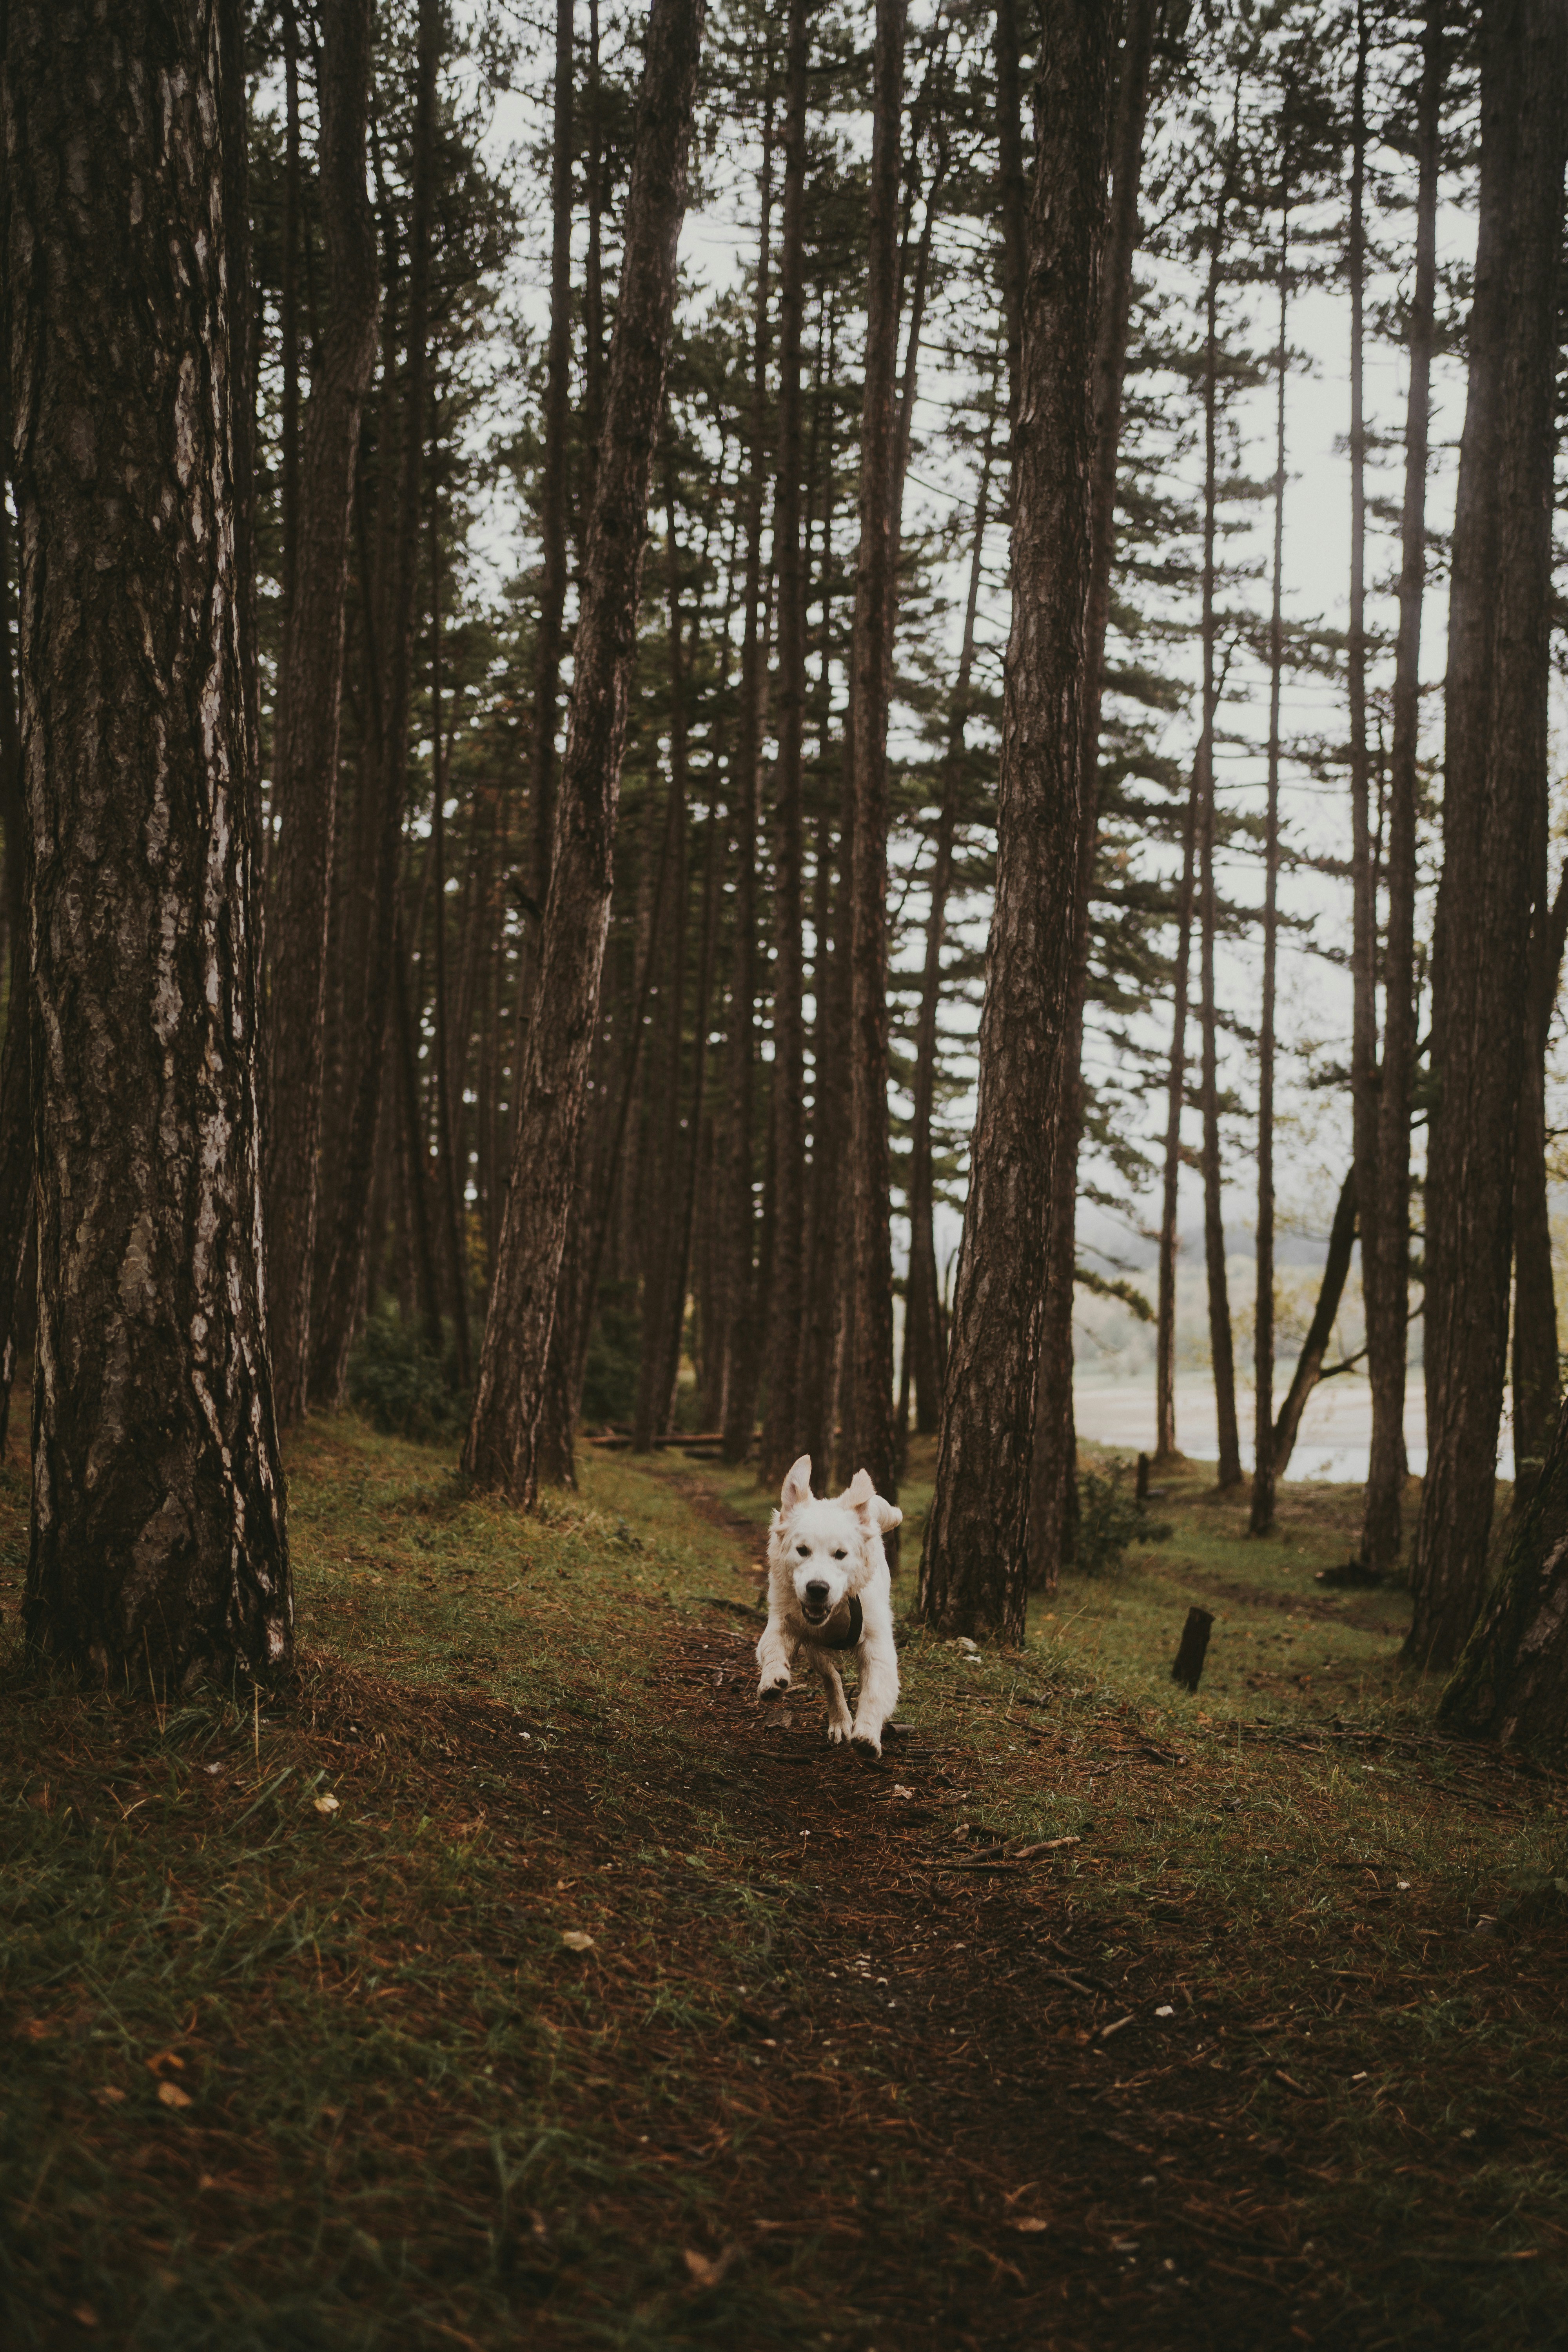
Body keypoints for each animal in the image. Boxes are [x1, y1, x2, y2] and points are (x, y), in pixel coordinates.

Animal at [752, 1449, 902, 1769]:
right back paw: (840, 1720)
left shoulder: (878, 1643)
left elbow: (875, 1690)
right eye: (802, 1550)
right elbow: (772, 1646)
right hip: (814, 1648)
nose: (817, 1589)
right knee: (831, 1677)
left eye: (841, 1554)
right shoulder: (786, 1619)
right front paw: (772, 1678)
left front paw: (868, 1735)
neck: (838, 1610)